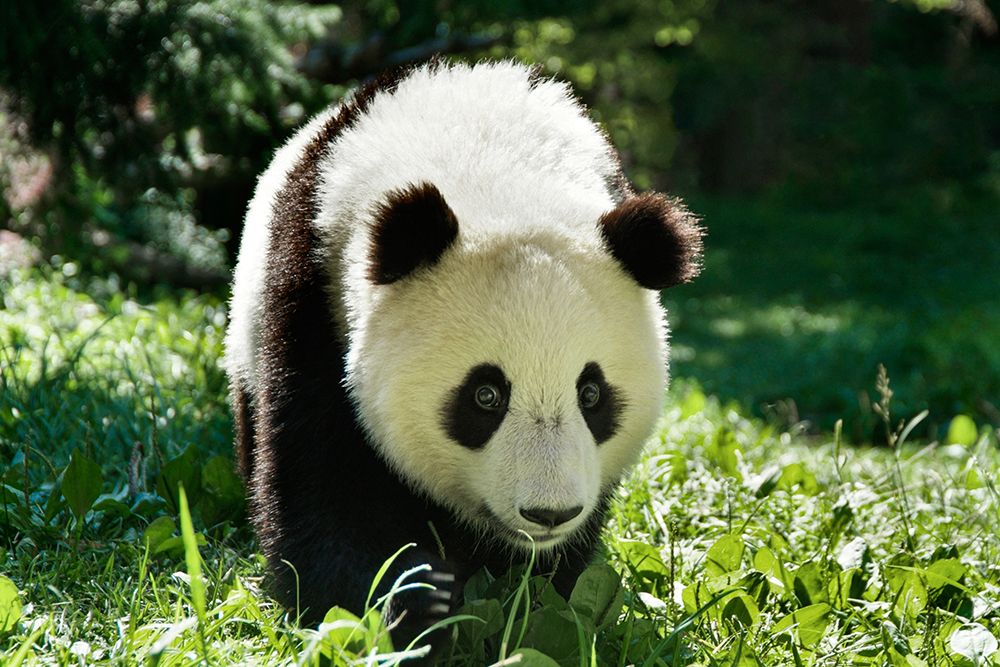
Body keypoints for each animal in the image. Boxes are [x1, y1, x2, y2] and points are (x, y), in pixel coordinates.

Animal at [223, 60, 702, 651]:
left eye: (592, 393)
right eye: (485, 395)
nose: (549, 512)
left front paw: (533, 604)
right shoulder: (312, 297)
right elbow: (323, 487)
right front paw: (407, 605)